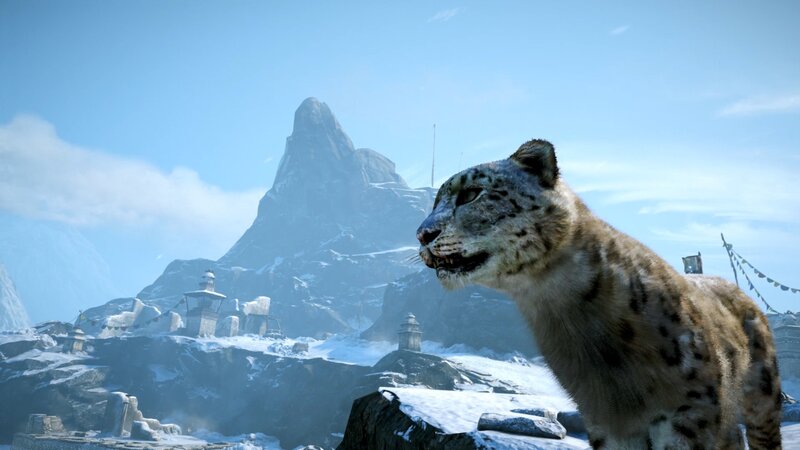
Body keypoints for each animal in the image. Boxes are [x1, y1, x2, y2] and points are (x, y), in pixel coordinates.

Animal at [416, 139, 782, 449]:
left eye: (471, 194)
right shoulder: (606, 423)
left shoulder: (689, 414)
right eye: (434, 202)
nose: (422, 233)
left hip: (762, 400)